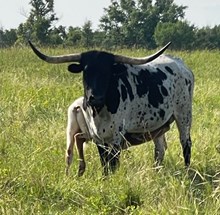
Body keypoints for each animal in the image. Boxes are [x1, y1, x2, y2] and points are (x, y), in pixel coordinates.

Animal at [27, 41, 194, 176]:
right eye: (86, 71)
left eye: (107, 72)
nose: (95, 98)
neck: (100, 111)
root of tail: (181, 65)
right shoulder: (98, 138)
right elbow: (104, 164)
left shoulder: (116, 138)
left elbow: (112, 164)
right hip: (156, 125)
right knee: (160, 149)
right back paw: (156, 171)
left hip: (184, 115)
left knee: (185, 143)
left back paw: (187, 172)